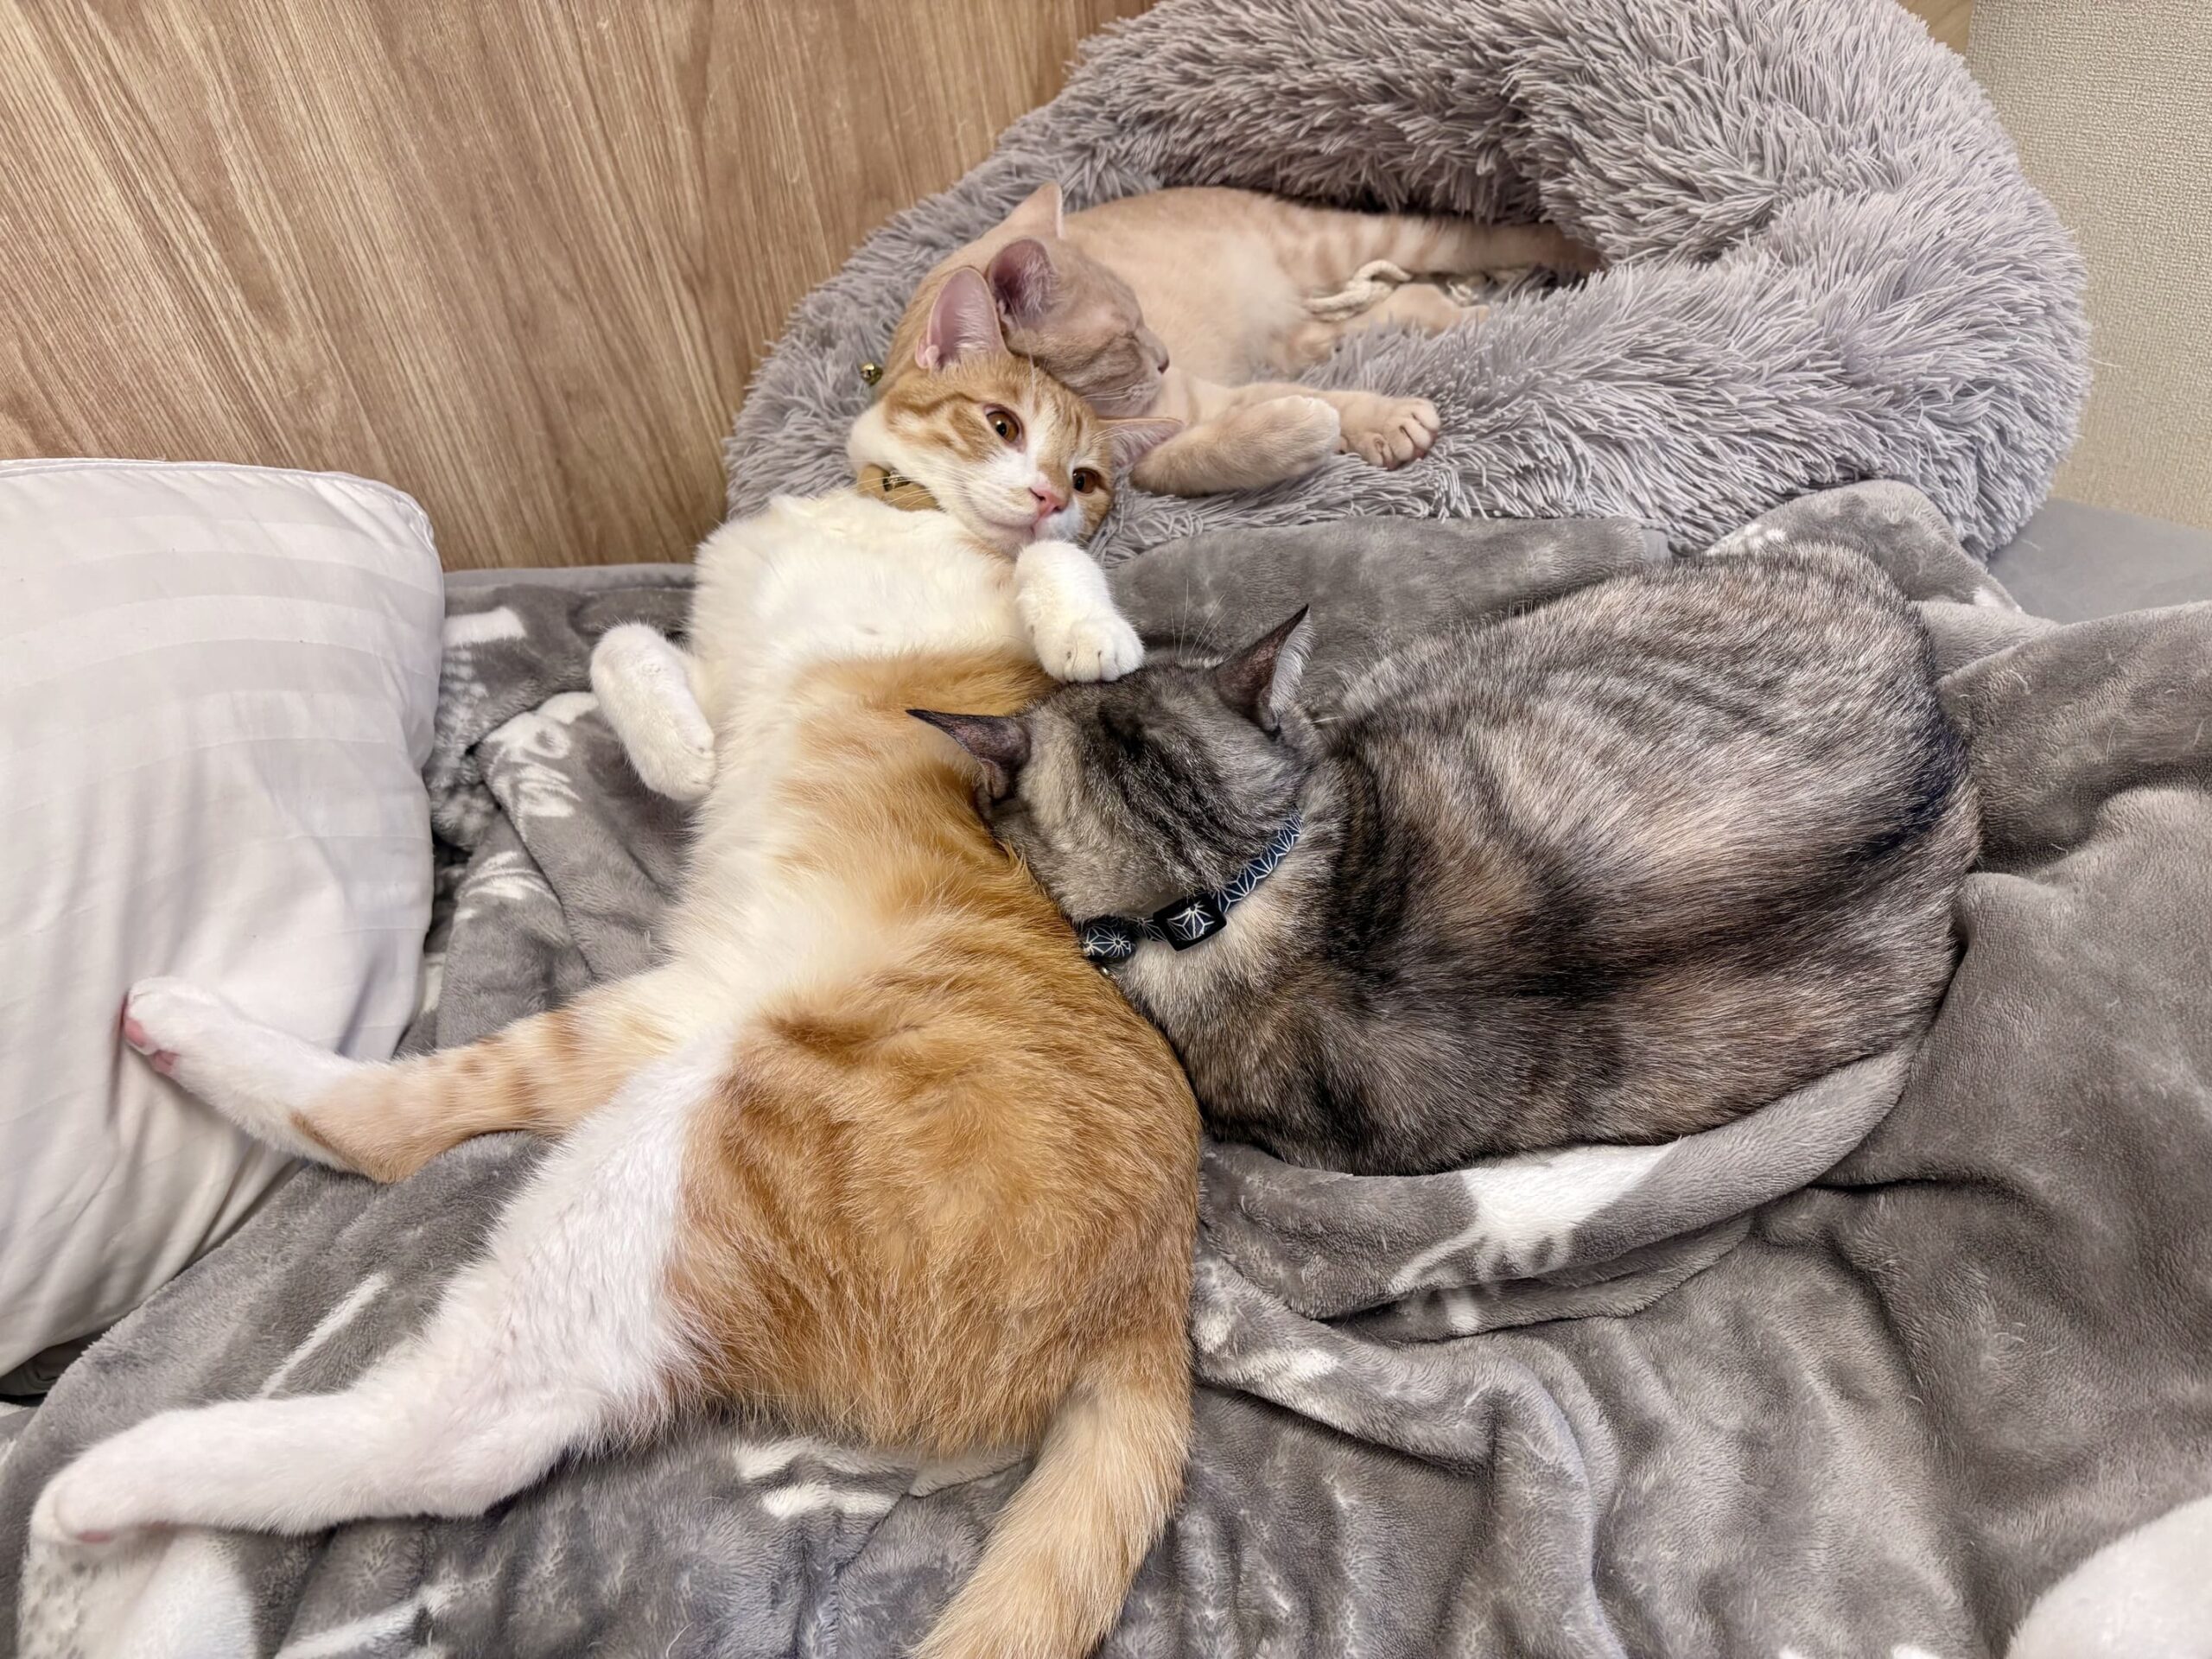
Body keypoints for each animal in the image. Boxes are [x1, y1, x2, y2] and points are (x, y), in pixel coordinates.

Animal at [38, 269, 1203, 1659]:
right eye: (1000, 423)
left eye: (1088, 476)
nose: (1040, 494)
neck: (894, 518)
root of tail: (1154, 1290)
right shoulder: (715, 638)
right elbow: (626, 653)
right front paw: (673, 748)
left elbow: (1054, 588)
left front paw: (1087, 628)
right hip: (653, 1034)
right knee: (408, 1127)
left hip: (702, 1140)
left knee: (459, 1408)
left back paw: (112, 1481)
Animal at [887, 181, 1599, 495]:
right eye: (1127, 337)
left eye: (1142, 317)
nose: (1163, 356)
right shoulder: (1143, 461)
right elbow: (1198, 457)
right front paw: (1297, 434)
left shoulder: (1205, 397)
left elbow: (1331, 403)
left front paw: (1379, 419)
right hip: (1306, 333)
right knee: (1402, 300)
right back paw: (1461, 315)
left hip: (1347, 242)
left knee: (1461, 235)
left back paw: (1572, 248)